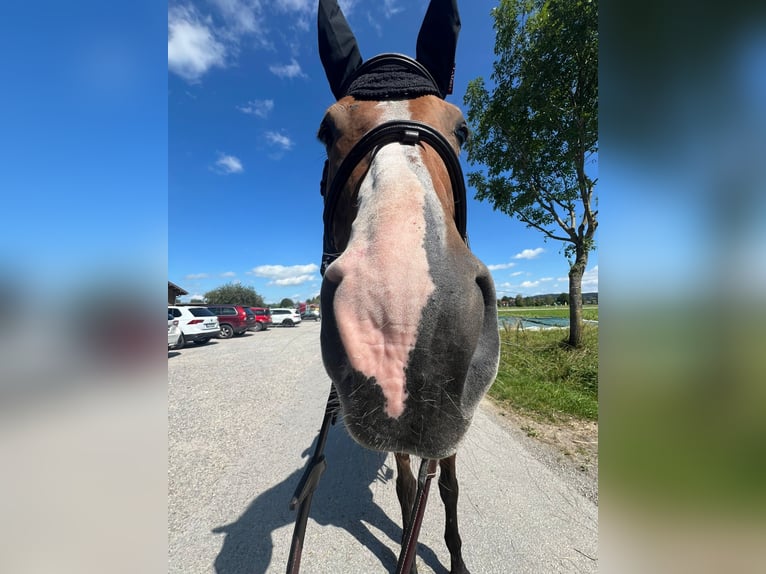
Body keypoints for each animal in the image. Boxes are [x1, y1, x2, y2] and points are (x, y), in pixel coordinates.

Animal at [312, 2, 504, 572]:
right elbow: (404, 489)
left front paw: (456, 559)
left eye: (462, 128)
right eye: (326, 130)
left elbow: (446, 488)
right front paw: (411, 556)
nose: (401, 322)